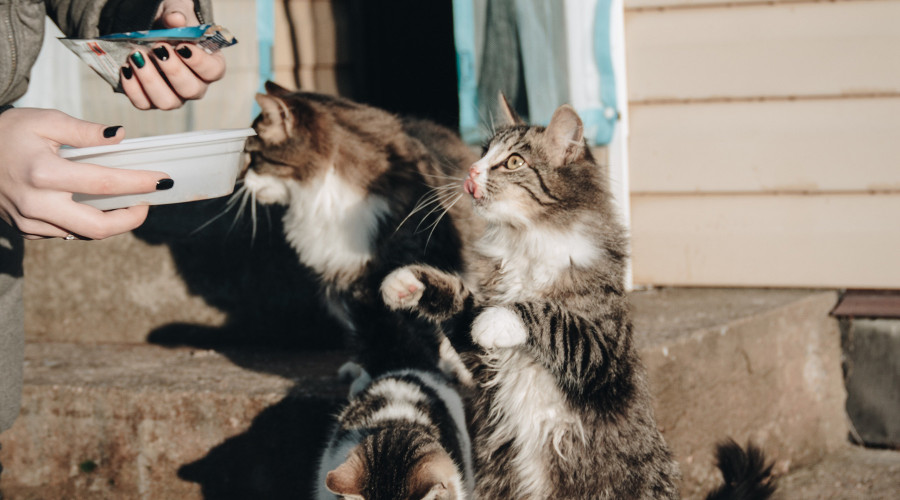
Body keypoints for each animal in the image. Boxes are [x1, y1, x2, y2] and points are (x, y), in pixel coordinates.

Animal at [380, 98, 772, 500]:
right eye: (483, 152)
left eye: (513, 162)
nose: (471, 171)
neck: (527, 242)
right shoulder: (484, 362)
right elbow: (461, 303)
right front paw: (406, 282)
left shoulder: (601, 353)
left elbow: (549, 317)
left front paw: (499, 319)